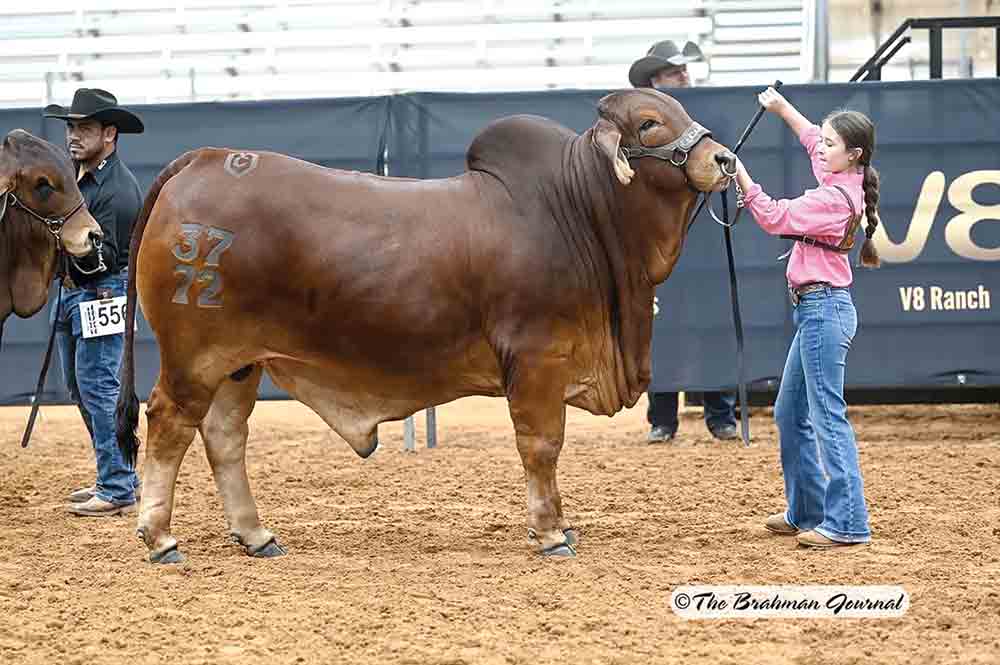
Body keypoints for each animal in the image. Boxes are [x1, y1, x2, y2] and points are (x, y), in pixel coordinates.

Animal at [117, 88, 740, 560]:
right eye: (650, 123)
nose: (724, 160)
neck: (578, 210)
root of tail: (203, 158)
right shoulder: (536, 358)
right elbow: (541, 445)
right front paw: (551, 533)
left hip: (241, 363)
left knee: (225, 435)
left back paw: (255, 535)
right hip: (193, 356)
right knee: (169, 422)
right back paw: (160, 537)